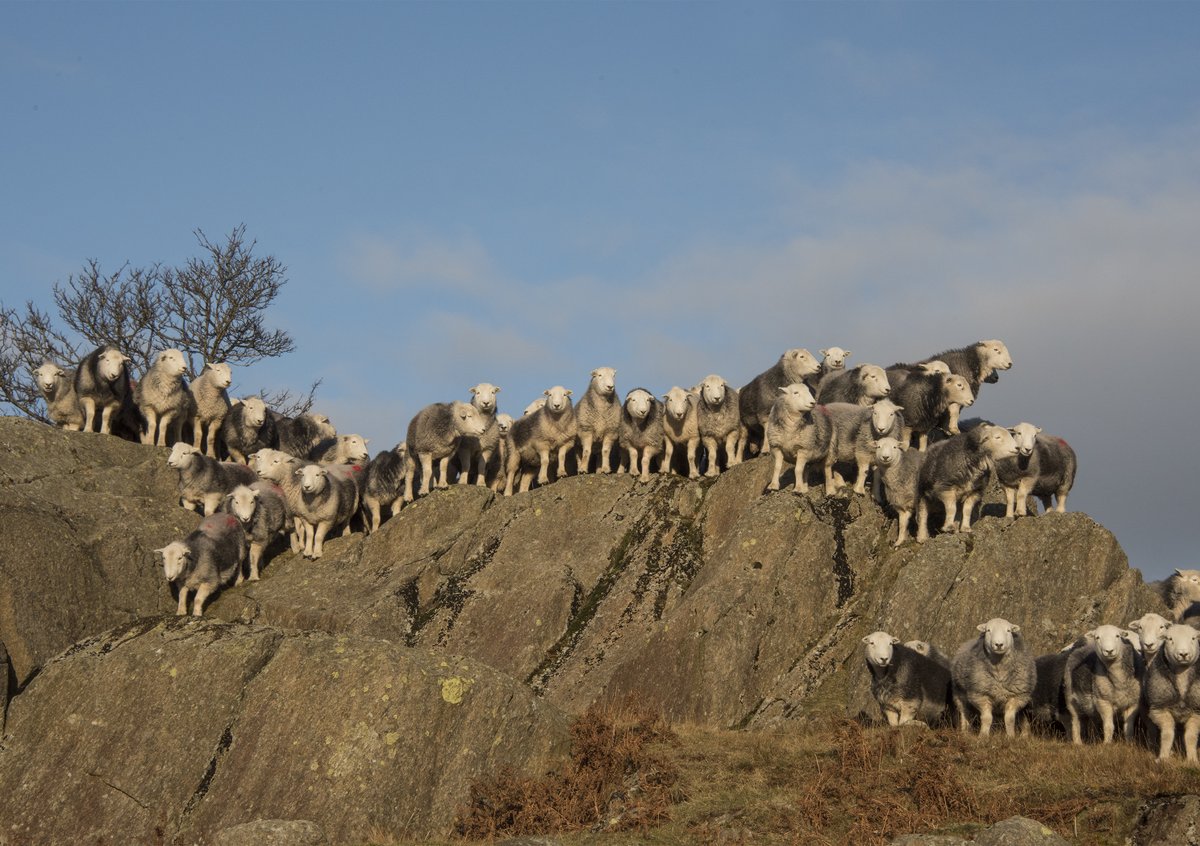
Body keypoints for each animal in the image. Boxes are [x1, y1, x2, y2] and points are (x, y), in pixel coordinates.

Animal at [1142, 624, 1200, 762]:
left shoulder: (1197, 711)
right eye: (1169, 639)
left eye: (1194, 638)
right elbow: (1168, 733)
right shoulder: (1159, 708)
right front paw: (1163, 758)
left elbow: (1190, 736)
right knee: (1152, 731)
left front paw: (1192, 760)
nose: (1183, 654)